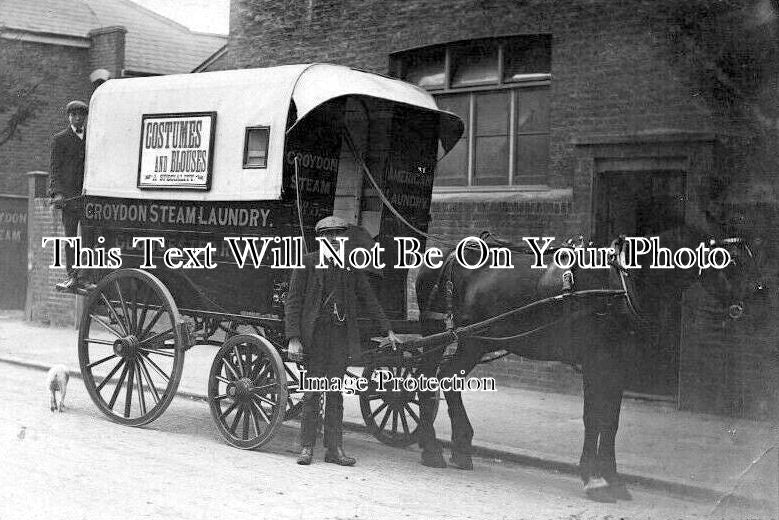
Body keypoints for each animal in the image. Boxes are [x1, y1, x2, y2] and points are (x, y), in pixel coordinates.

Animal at [418, 225, 764, 502]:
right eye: (732, 261)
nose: (759, 293)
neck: (621, 284)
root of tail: (446, 254)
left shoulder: (618, 365)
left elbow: (610, 421)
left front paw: (612, 479)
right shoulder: (596, 361)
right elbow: (593, 418)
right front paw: (592, 478)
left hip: (475, 341)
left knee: (446, 379)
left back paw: (458, 447)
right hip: (451, 336)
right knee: (433, 379)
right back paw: (433, 448)